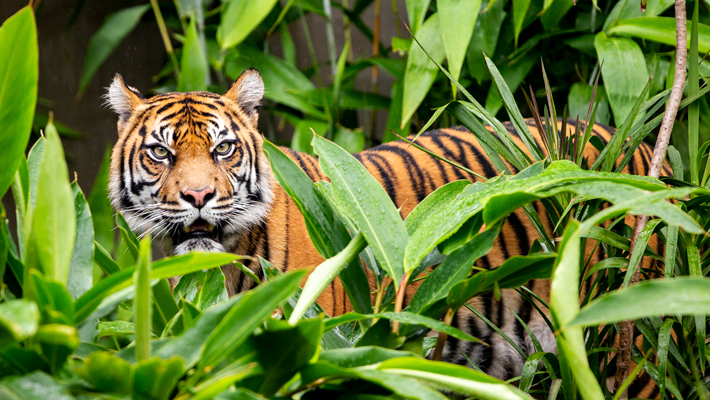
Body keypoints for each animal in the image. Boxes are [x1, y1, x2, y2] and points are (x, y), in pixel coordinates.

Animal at [107, 68, 672, 396]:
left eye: (222, 149)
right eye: (161, 153)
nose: (199, 196)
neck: (223, 265)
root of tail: (642, 150)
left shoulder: (325, 352)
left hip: (626, 342)